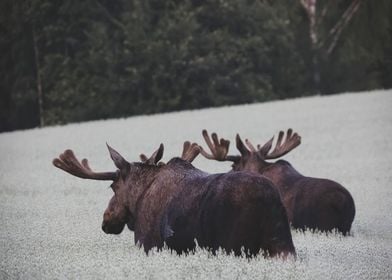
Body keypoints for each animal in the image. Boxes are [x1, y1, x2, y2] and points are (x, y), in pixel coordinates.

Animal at [53, 142, 296, 258]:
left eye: (112, 186)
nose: (106, 220)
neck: (139, 198)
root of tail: (270, 202)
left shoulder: (148, 244)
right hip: (282, 245)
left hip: (235, 246)